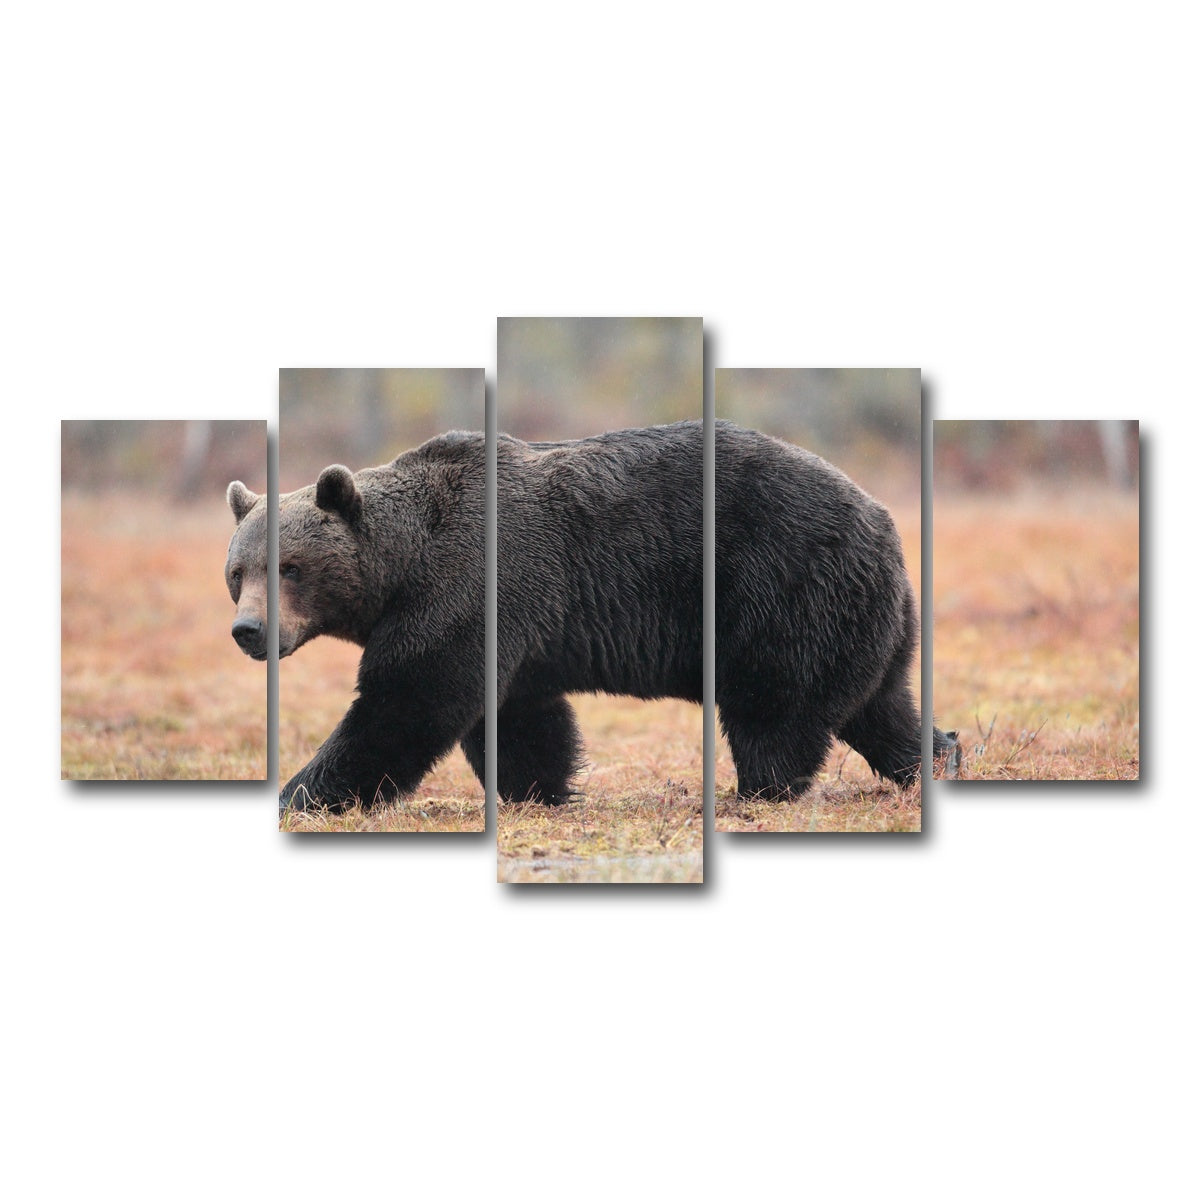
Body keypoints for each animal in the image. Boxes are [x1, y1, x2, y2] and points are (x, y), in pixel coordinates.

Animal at [225, 431, 485, 813]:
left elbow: (407, 697)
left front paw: (298, 795)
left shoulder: (457, 587)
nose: (248, 629)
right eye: (237, 573)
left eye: (290, 567)